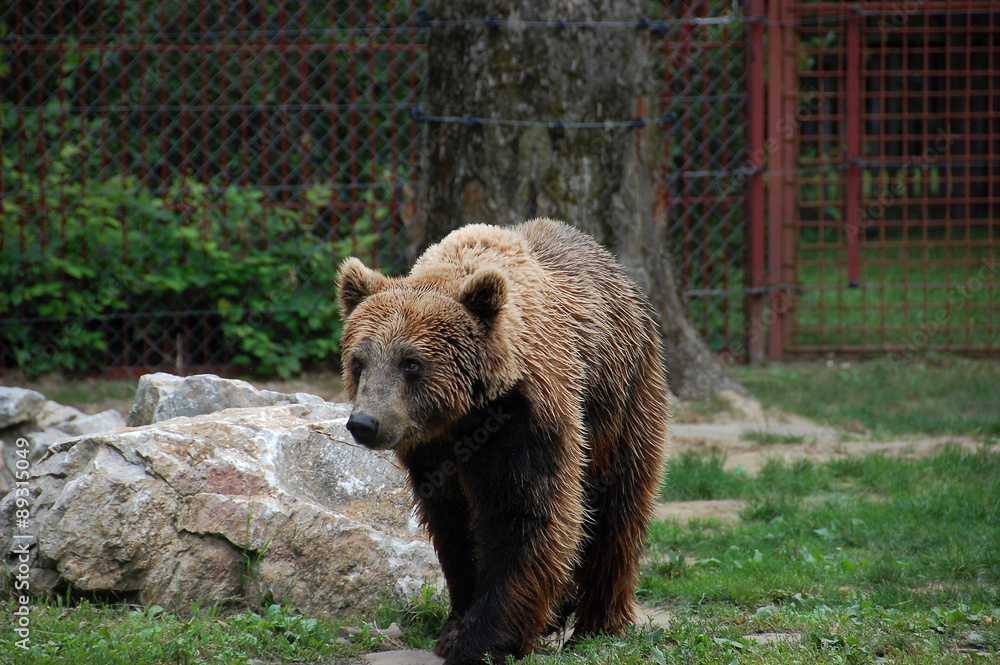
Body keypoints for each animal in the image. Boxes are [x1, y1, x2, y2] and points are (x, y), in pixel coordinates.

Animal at [337, 218, 669, 664]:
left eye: (412, 363)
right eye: (359, 361)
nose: (365, 423)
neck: (462, 417)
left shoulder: (528, 421)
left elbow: (523, 515)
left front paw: (482, 640)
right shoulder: (431, 453)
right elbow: (453, 526)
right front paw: (455, 625)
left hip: (622, 400)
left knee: (618, 508)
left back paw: (599, 623)